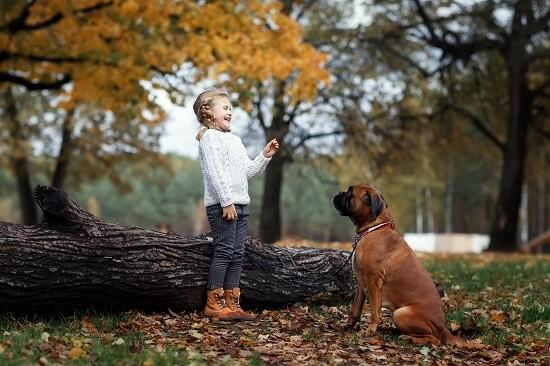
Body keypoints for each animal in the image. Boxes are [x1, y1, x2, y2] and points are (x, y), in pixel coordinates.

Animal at [332, 184, 478, 348]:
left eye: (350, 193)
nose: (339, 193)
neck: (374, 229)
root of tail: (443, 327)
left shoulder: (373, 281)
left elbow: (374, 312)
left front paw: (370, 331)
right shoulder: (361, 284)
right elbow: (355, 309)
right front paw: (348, 325)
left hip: (400, 313)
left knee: (434, 340)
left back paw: (408, 338)